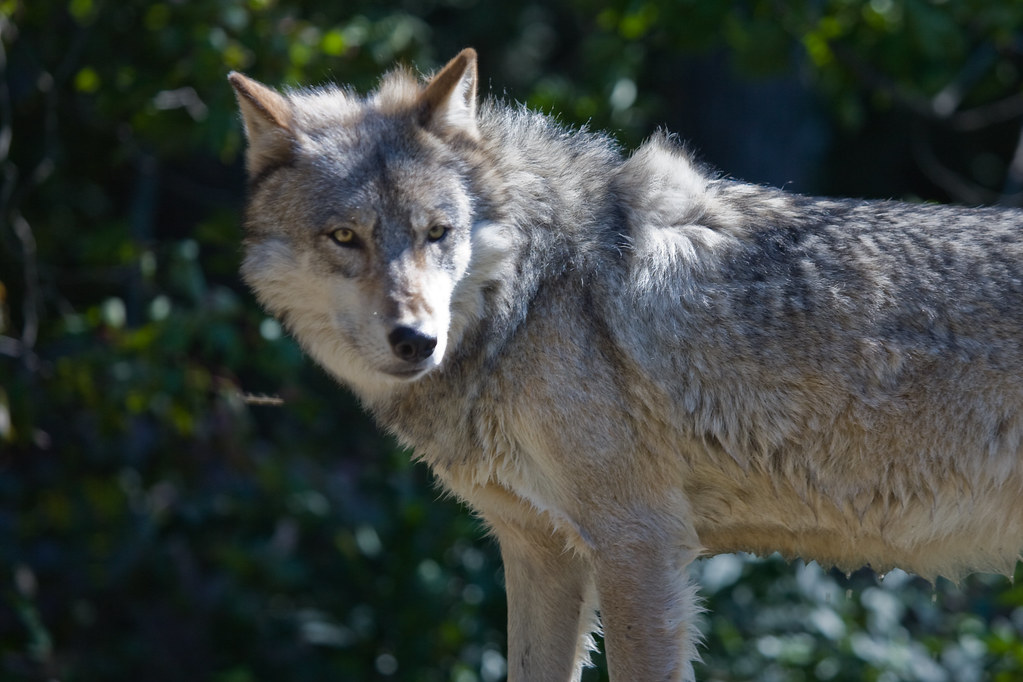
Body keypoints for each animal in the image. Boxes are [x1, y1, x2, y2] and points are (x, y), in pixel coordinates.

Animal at [228, 48, 1023, 680]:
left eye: (438, 233)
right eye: (345, 237)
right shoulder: (540, 552)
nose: (416, 341)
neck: (533, 295)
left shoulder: (638, 544)